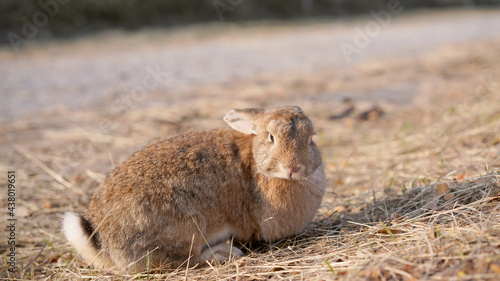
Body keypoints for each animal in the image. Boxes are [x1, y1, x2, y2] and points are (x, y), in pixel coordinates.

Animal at [62, 105, 326, 272]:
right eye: (271, 137)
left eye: (311, 137)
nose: (293, 167)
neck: (257, 163)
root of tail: (102, 241)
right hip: (186, 227)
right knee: (181, 261)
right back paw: (223, 254)